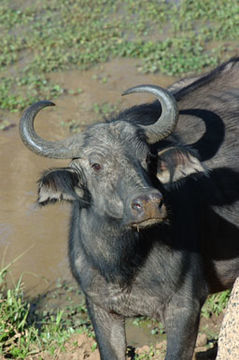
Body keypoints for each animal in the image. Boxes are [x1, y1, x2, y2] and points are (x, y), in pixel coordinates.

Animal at [19, 57, 239, 358]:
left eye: (148, 158)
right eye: (96, 165)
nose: (149, 204)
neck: (124, 264)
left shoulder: (185, 306)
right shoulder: (100, 308)